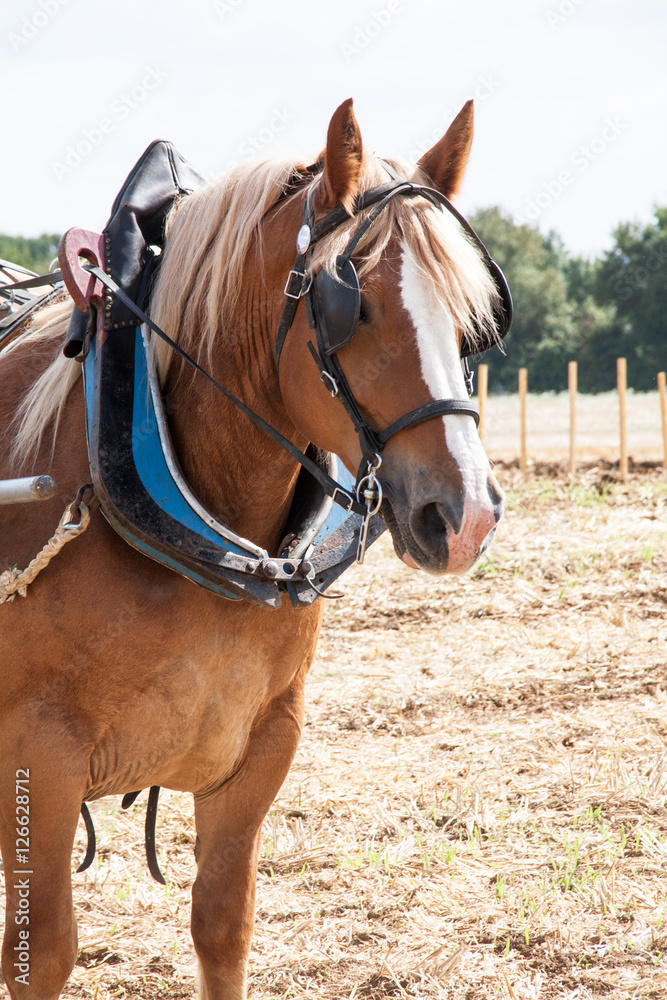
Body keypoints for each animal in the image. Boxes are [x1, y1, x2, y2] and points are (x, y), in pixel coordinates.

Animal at [0, 98, 505, 1000]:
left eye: (470, 315)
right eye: (352, 305)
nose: (468, 516)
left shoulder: (265, 743)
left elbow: (223, 925)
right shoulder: (36, 761)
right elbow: (41, 951)